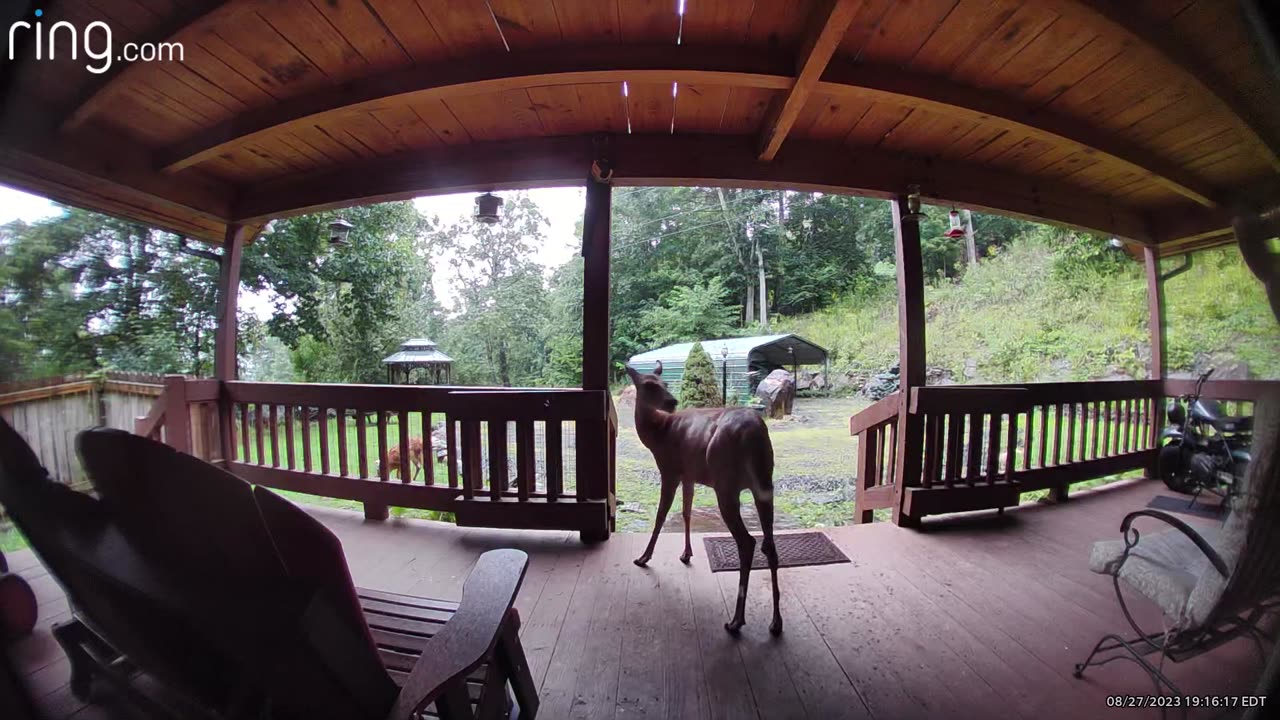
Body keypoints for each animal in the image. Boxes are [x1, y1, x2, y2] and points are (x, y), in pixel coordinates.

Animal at [627, 361, 778, 630]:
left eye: (664, 383)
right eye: (649, 385)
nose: (672, 401)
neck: (659, 435)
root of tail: (754, 434)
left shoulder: (670, 470)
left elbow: (661, 515)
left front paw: (643, 557)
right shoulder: (689, 475)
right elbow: (686, 513)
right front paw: (686, 553)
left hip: (726, 484)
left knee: (747, 541)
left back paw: (736, 620)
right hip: (764, 484)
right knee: (769, 544)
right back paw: (775, 623)